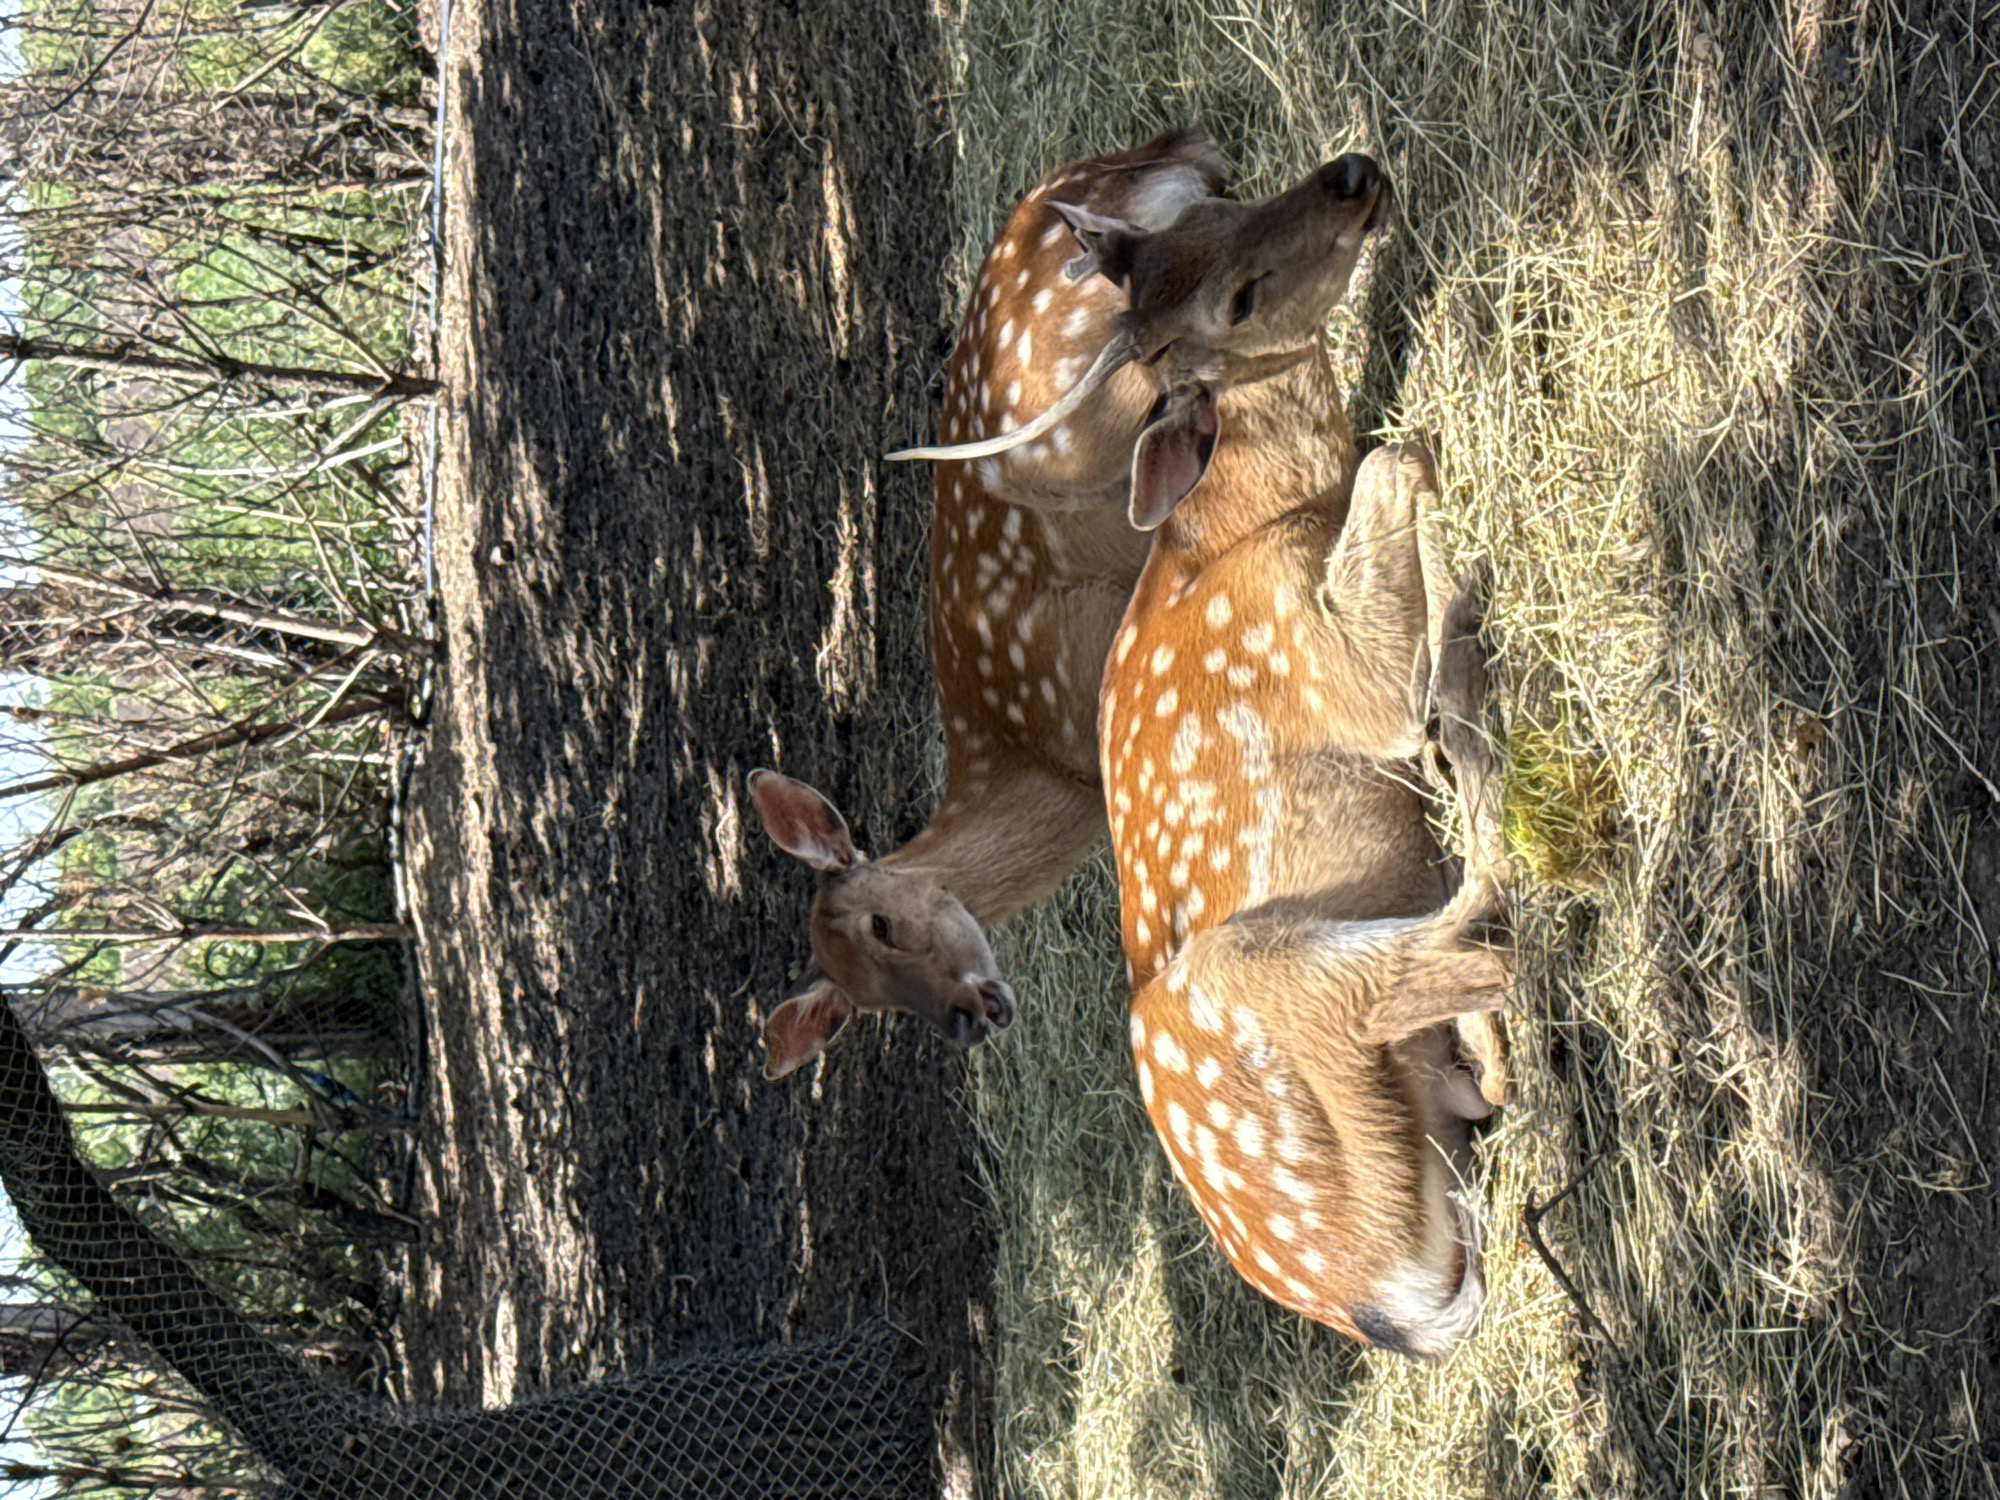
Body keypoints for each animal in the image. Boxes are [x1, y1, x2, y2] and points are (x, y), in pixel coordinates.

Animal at [934, 151, 1514, 1356]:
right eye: (1238, 301)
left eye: (1216, 206)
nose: (1351, 175)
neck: (1253, 521)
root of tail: (1379, 1301)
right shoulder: (1329, 665)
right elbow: (1397, 451)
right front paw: (1446, 668)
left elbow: (1391, 452)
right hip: (1241, 984)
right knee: (1474, 936)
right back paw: (1473, 723)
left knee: (1480, 1056)